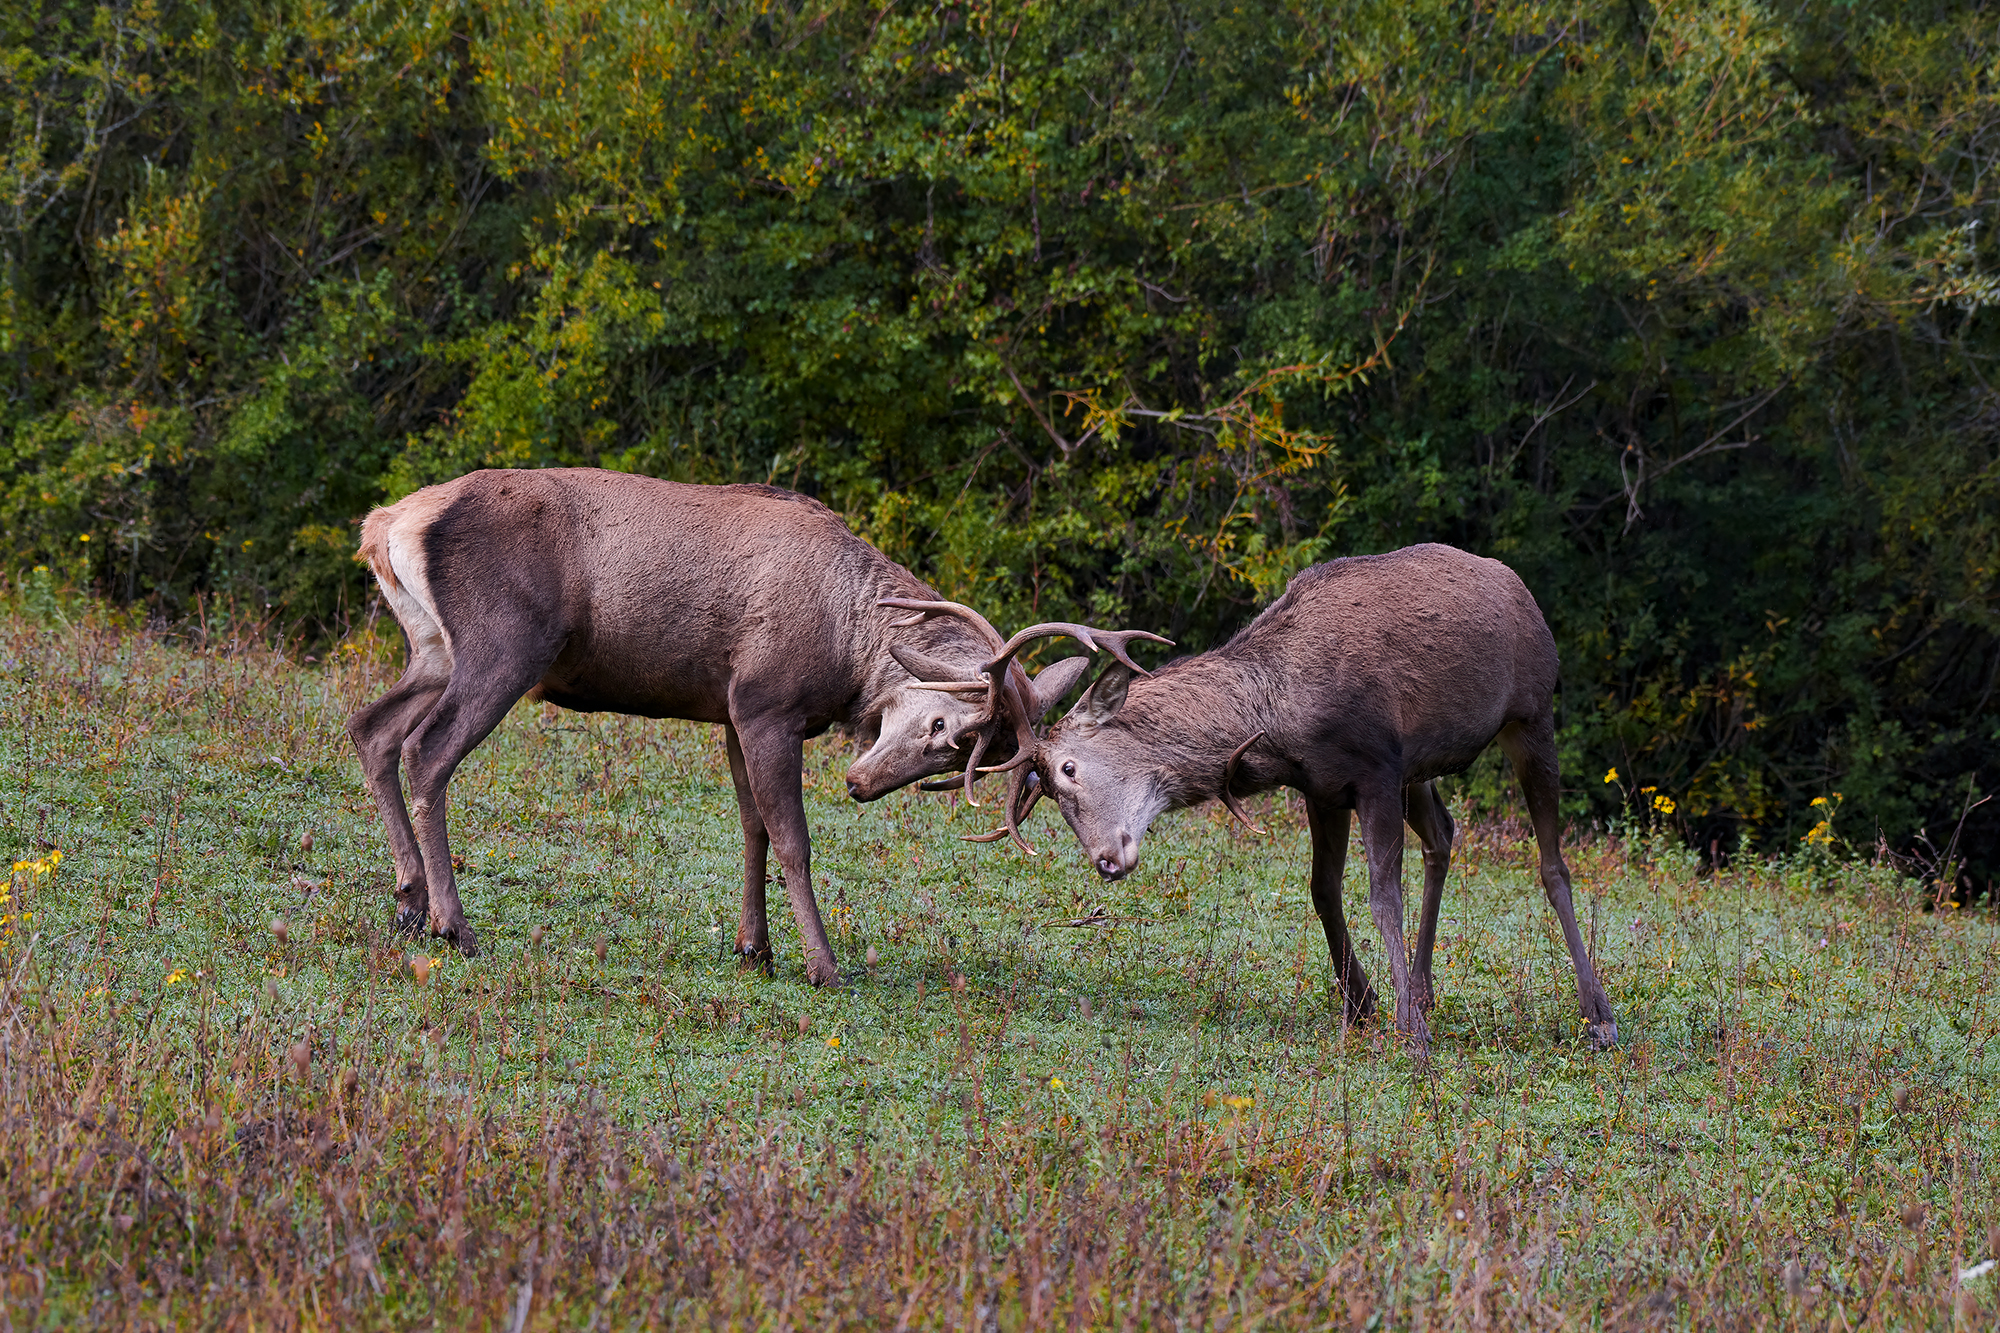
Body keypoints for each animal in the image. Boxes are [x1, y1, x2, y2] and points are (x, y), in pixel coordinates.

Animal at [346, 466, 1115, 984]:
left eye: (958, 754)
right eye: (941, 725)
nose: (861, 783)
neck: (848, 643)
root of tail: (385, 524)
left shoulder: (733, 711)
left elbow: (751, 827)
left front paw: (755, 947)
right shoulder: (767, 701)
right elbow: (792, 838)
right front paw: (822, 964)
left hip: (432, 648)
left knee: (371, 728)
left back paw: (409, 902)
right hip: (504, 644)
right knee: (427, 750)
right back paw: (454, 923)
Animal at [954, 543, 1617, 1055]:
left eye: (1068, 769)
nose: (1106, 861)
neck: (1279, 722)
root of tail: (1520, 589)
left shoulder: (1376, 767)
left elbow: (1383, 894)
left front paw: (1409, 1033)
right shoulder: (1324, 786)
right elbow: (1323, 888)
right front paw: (1363, 1002)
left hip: (1532, 712)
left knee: (1552, 863)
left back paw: (1598, 1015)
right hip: (1423, 768)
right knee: (1444, 834)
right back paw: (1426, 988)